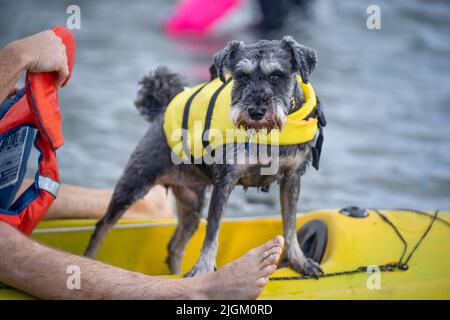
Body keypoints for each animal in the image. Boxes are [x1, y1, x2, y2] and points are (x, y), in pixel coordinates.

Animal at [83, 34, 324, 276]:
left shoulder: (292, 177)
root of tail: (160, 111)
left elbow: (290, 224)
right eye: (241, 76)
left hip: (192, 203)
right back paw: (90, 259)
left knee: (175, 246)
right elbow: (212, 231)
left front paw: (299, 261)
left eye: (276, 75)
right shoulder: (225, 180)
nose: (255, 112)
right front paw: (203, 268)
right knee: (102, 227)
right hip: (133, 185)